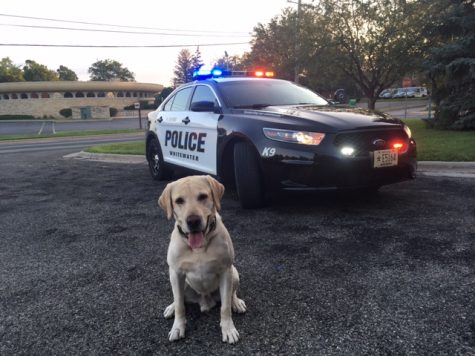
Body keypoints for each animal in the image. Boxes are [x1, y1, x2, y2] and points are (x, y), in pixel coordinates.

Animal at [161, 174, 249, 344]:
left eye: (202, 196)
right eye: (179, 200)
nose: (193, 220)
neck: (198, 248)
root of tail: (205, 302)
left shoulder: (225, 271)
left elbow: (225, 306)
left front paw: (228, 329)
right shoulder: (175, 272)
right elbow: (180, 305)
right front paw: (177, 327)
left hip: (234, 273)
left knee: (231, 294)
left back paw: (236, 302)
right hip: (180, 282)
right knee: (179, 298)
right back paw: (171, 307)